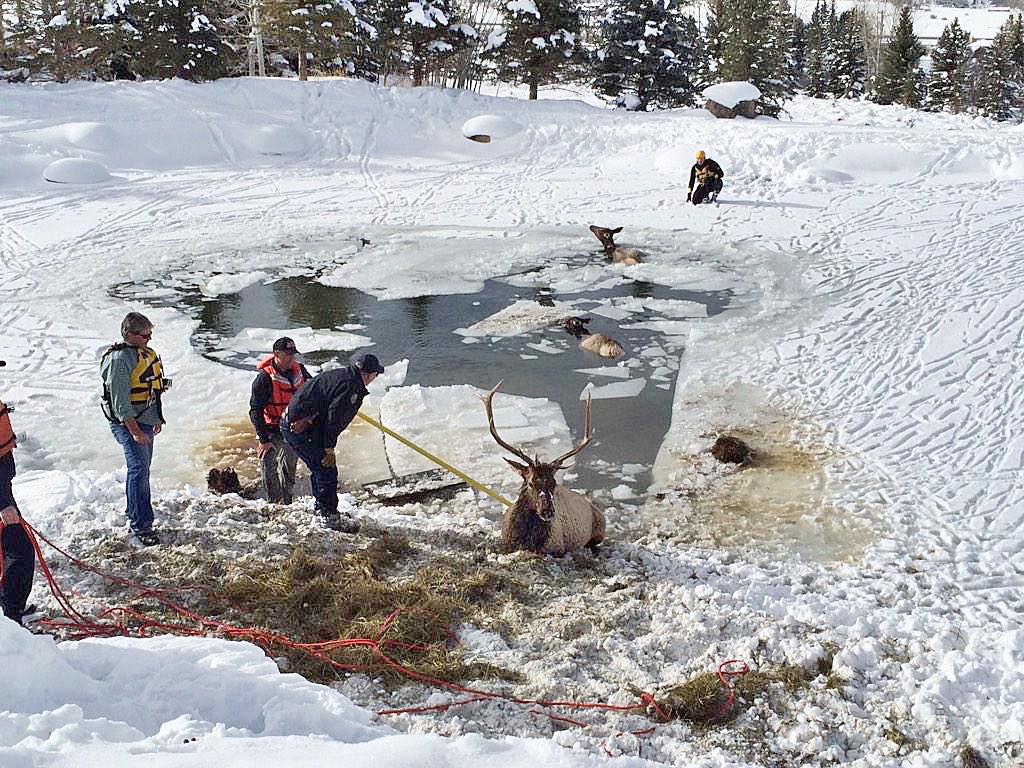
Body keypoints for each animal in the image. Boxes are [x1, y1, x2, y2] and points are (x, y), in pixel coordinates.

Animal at [482, 381, 606, 556]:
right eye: (530, 483)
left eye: (554, 483)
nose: (548, 511)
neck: (525, 539)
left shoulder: (558, 549)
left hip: (600, 531)